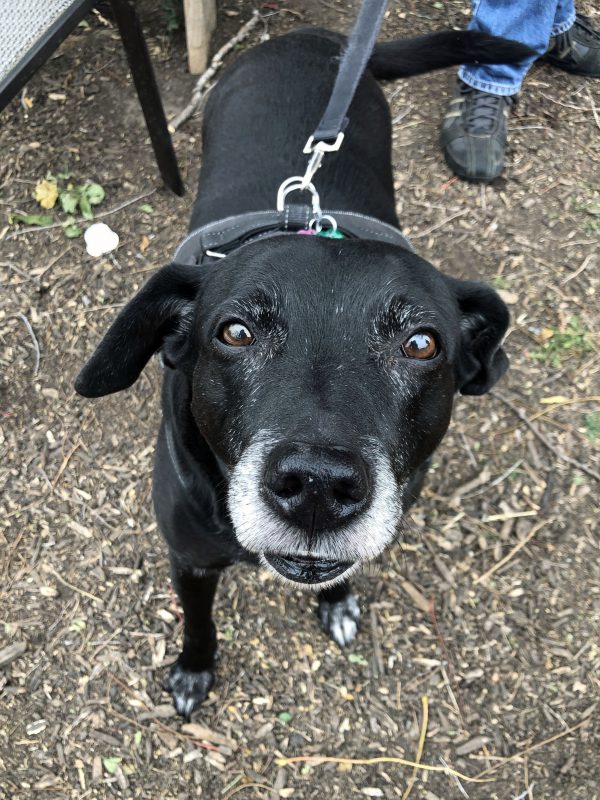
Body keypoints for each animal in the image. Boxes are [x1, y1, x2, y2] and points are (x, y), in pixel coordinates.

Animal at [75, 26, 528, 720]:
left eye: (421, 344)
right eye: (235, 332)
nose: (317, 486)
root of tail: (316, 35)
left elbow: (346, 570)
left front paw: (336, 603)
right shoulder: (188, 559)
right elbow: (198, 622)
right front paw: (195, 668)